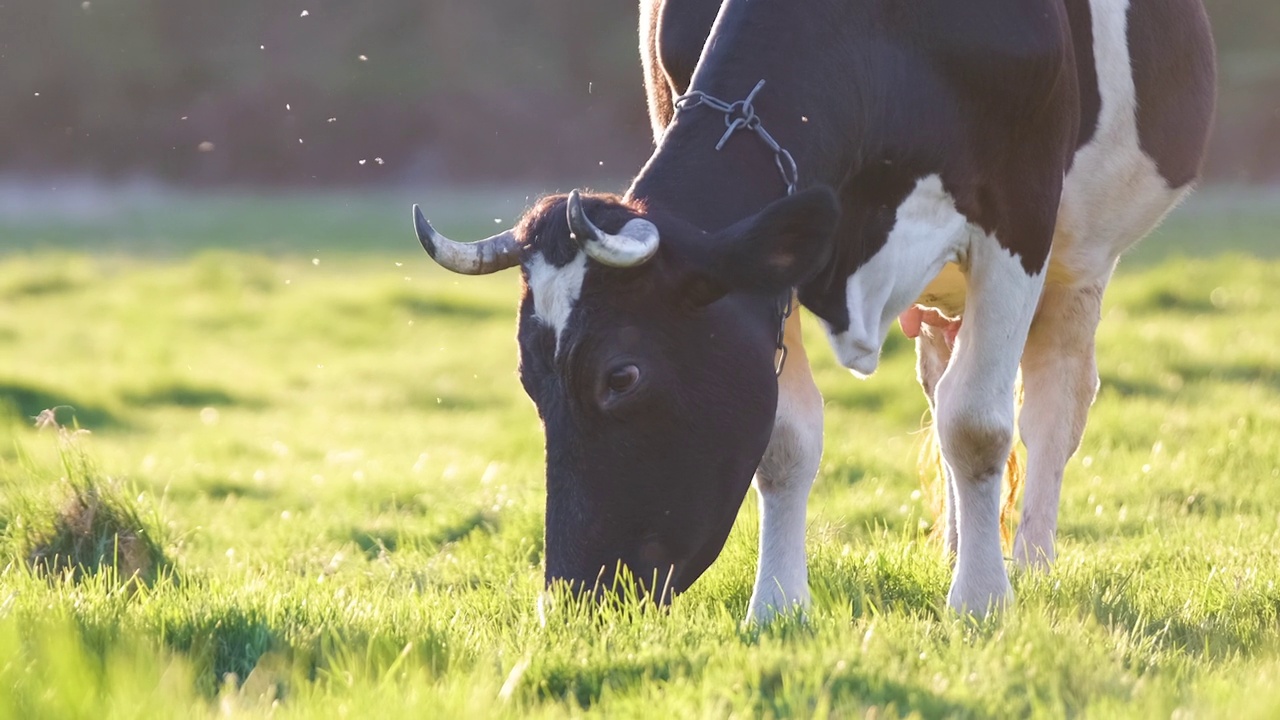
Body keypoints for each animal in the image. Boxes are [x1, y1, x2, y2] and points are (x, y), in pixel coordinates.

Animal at [414, 0, 1213, 617]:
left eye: (622, 376)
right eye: (530, 380)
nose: (576, 597)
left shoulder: (1018, 210)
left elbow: (980, 427)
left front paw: (982, 602)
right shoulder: (773, 262)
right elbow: (786, 440)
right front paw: (776, 608)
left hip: (1081, 261)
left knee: (1052, 407)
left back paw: (1033, 562)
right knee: (942, 383)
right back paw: (957, 544)